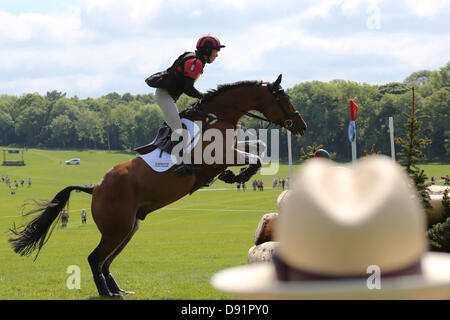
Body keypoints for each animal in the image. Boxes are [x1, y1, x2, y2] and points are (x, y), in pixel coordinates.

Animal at [8, 73, 308, 298]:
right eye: (284, 98)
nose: (301, 125)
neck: (218, 116)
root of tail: (96, 188)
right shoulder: (219, 156)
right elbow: (255, 155)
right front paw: (237, 175)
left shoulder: (231, 150)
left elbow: (259, 148)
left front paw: (233, 176)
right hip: (117, 228)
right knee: (95, 258)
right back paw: (106, 292)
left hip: (128, 228)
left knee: (106, 260)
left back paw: (117, 290)